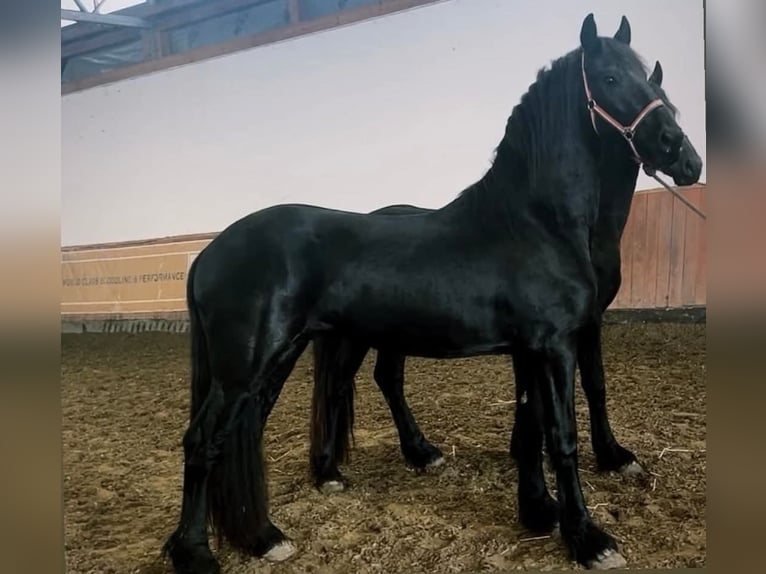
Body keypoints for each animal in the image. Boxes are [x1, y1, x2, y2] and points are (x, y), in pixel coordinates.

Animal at [307, 64, 703, 496]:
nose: (691, 162)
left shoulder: (570, 324)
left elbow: (574, 386)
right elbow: (581, 386)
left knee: (386, 378)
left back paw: (420, 454)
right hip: (357, 335)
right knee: (340, 384)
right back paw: (338, 470)